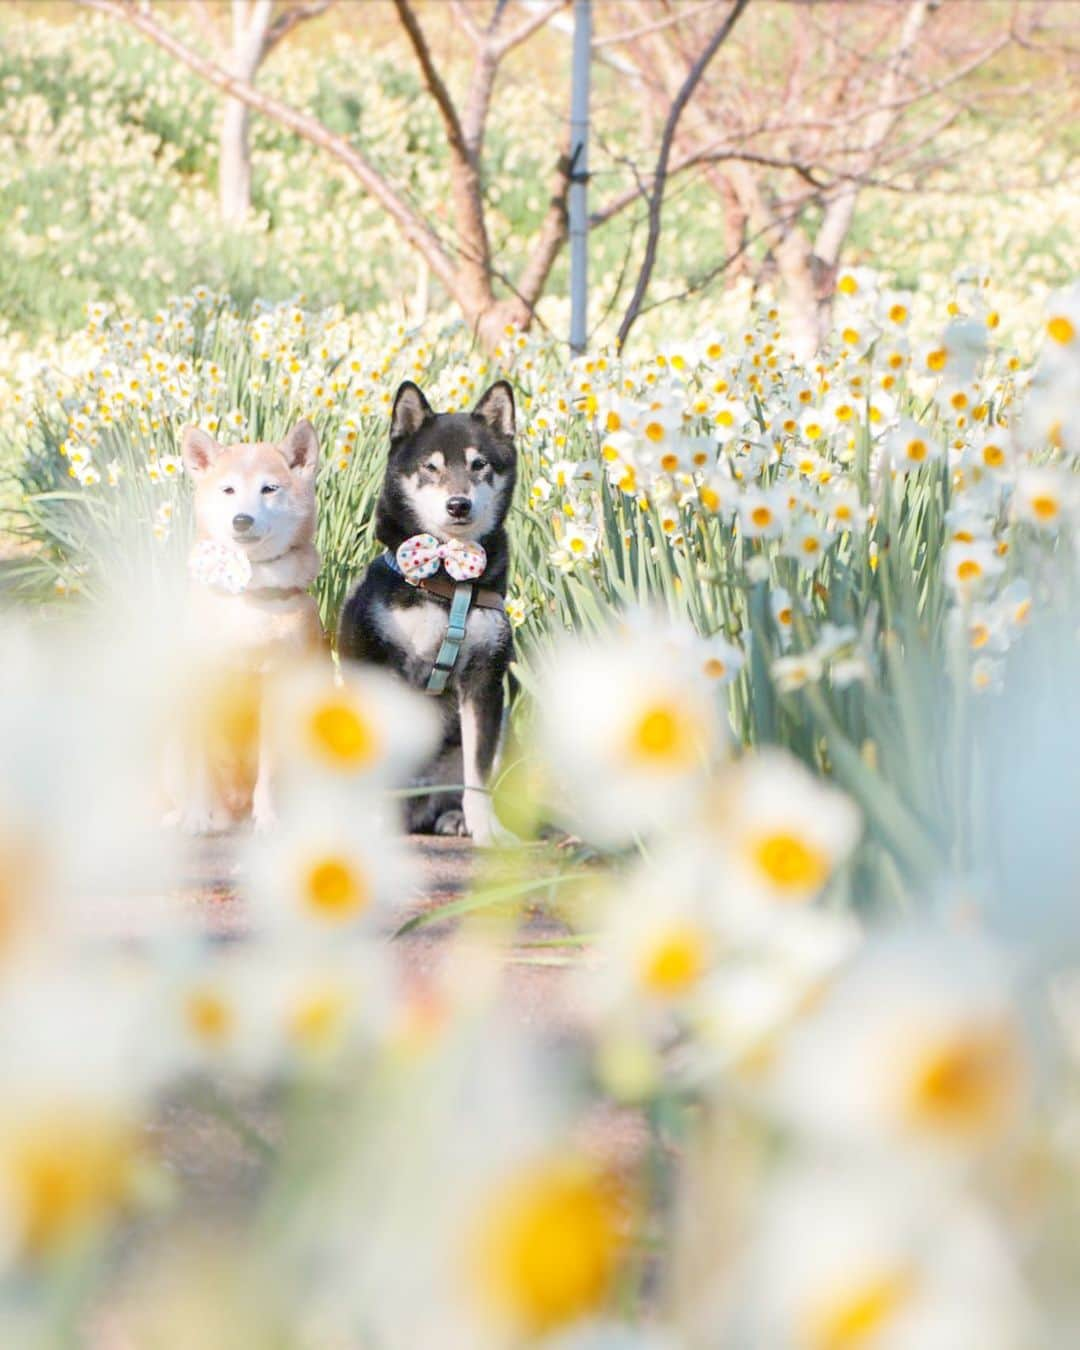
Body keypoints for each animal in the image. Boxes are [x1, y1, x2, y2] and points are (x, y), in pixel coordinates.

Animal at [166, 421, 322, 831]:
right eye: (228, 490)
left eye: (269, 488)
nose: (242, 520)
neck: (248, 592)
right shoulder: (200, 682)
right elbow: (200, 768)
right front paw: (196, 817)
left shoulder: (278, 685)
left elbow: (270, 769)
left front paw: (268, 818)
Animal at [340, 383, 521, 842]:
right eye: (431, 467)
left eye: (479, 464)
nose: (458, 505)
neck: (446, 576)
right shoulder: (384, 668)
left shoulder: (485, 680)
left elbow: (478, 773)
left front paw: (485, 827)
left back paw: (453, 817)